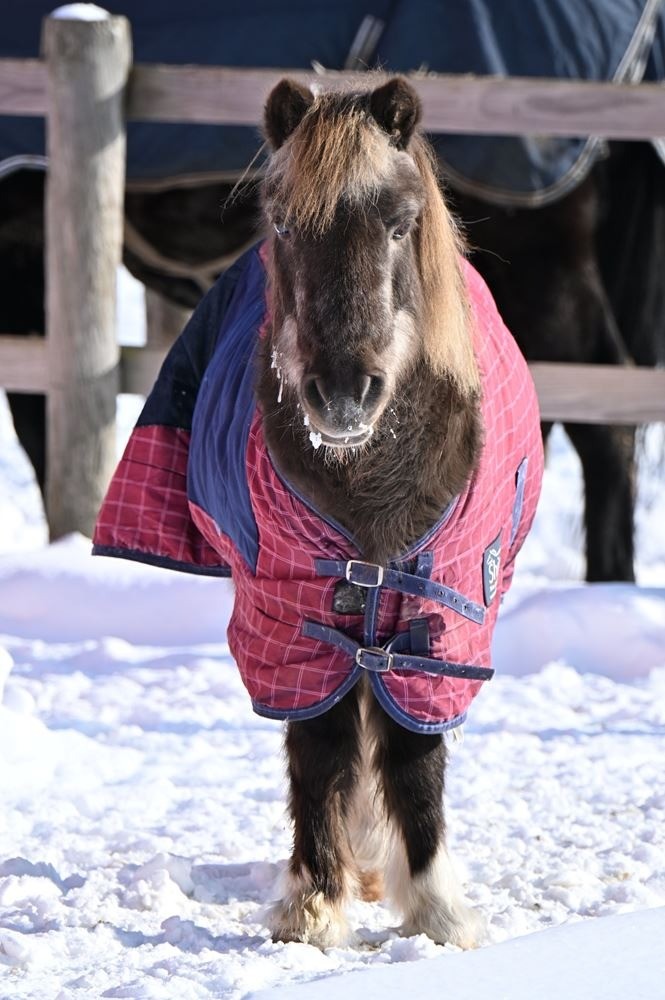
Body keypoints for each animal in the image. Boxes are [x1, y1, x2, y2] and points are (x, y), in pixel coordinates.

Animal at [1, 0, 664, 584]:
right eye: (281, 225)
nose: (344, 394)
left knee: (604, 433)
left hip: (548, 277)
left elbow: (35, 424)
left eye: (401, 225)